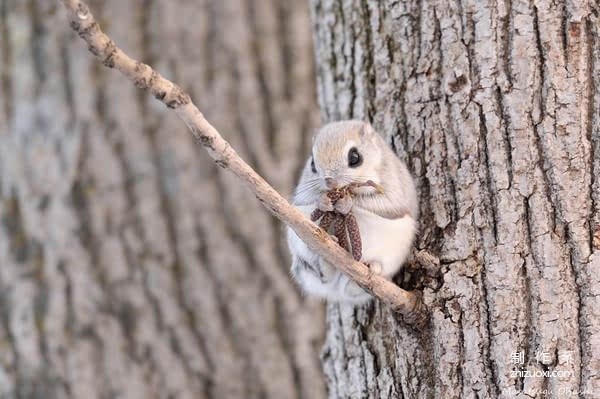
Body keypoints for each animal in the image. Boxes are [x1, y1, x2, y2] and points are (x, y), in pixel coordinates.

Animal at [286, 120, 418, 304]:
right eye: (312, 163)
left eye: (355, 157)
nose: (329, 181)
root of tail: (335, 293)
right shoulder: (303, 195)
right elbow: (308, 199)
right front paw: (323, 201)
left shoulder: (394, 186)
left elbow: (385, 203)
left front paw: (346, 203)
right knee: (319, 274)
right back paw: (327, 259)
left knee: (353, 288)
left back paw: (370, 270)